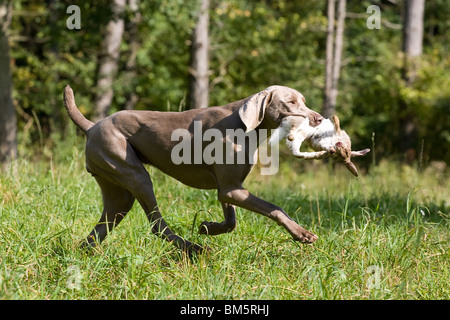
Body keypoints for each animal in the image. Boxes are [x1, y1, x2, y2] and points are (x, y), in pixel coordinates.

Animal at [63, 84, 354, 252]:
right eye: (291, 103)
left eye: (302, 100)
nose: (318, 119)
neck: (247, 127)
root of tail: (92, 126)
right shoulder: (231, 189)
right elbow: (275, 208)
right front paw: (301, 234)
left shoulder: (228, 188)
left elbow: (231, 221)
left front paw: (207, 227)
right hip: (134, 173)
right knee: (157, 225)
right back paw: (193, 249)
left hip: (118, 193)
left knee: (100, 229)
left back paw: (84, 255)